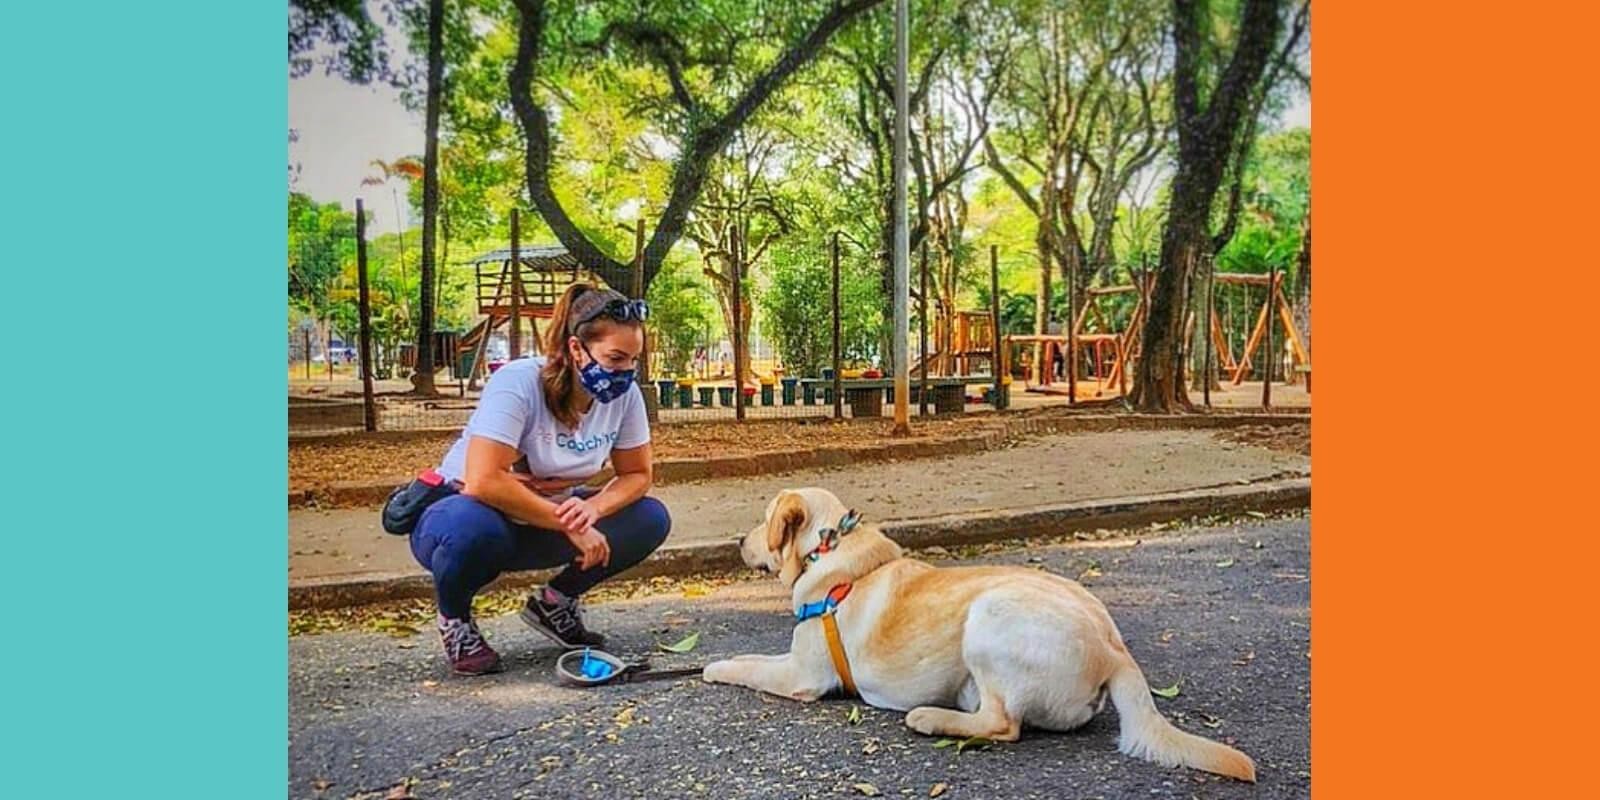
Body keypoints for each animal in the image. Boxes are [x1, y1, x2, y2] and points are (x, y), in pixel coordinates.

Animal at [707, 486, 1254, 780]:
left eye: (762, 520)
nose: (736, 541)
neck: (830, 553)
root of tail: (1115, 649)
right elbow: (754, 656)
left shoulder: (801, 675)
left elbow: (747, 667)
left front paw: (713, 667)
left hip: (990, 615)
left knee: (1002, 724)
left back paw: (928, 717)